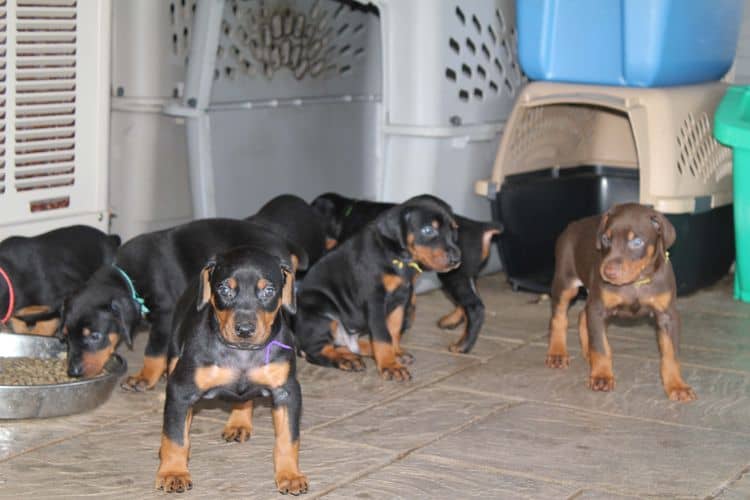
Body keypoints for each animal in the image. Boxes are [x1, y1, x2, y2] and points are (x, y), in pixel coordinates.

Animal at [156, 246, 308, 496]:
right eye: (224, 289)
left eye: (268, 291)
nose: (245, 330)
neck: (242, 353)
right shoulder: (181, 388)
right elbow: (175, 435)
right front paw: (173, 473)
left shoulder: (286, 391)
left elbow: (288, 438)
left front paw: (290, 476)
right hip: (175, 352)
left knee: (243, 398)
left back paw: (239, 423)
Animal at [296, 194, 462, 378]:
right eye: (428, 230)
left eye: (454, 230)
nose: (456, 259)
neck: (396, 257)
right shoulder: (375, 300)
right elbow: (382, 335)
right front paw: (390, 365)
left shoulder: (400, 298)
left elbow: (393, 330)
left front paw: (395, 354)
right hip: (320, 309)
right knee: (314, 351)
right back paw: (346, 359)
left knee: (346, 344)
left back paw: (364, 351)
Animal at [312, 191, 506, 352]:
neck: (348, 212)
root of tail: (481, 227)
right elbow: (409, 300)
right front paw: (405, 323)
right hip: (465, 274)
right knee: (471, 299)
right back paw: (451, 321)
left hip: (453, 274)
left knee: (475, 307)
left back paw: (462, 346)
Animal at [548, 203, 700, 402]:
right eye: (605, 239)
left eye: (637, 242)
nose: (608, 272)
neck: (635, 282)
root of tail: (574, 224)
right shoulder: (599, 309)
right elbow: (601, 346)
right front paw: (602, 376)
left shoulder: (668, 315)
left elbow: (671, 354)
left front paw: (677, 385)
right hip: (565, 281)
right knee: (559, 318)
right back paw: (557, 353)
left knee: (582, 315)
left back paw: (587, 353)